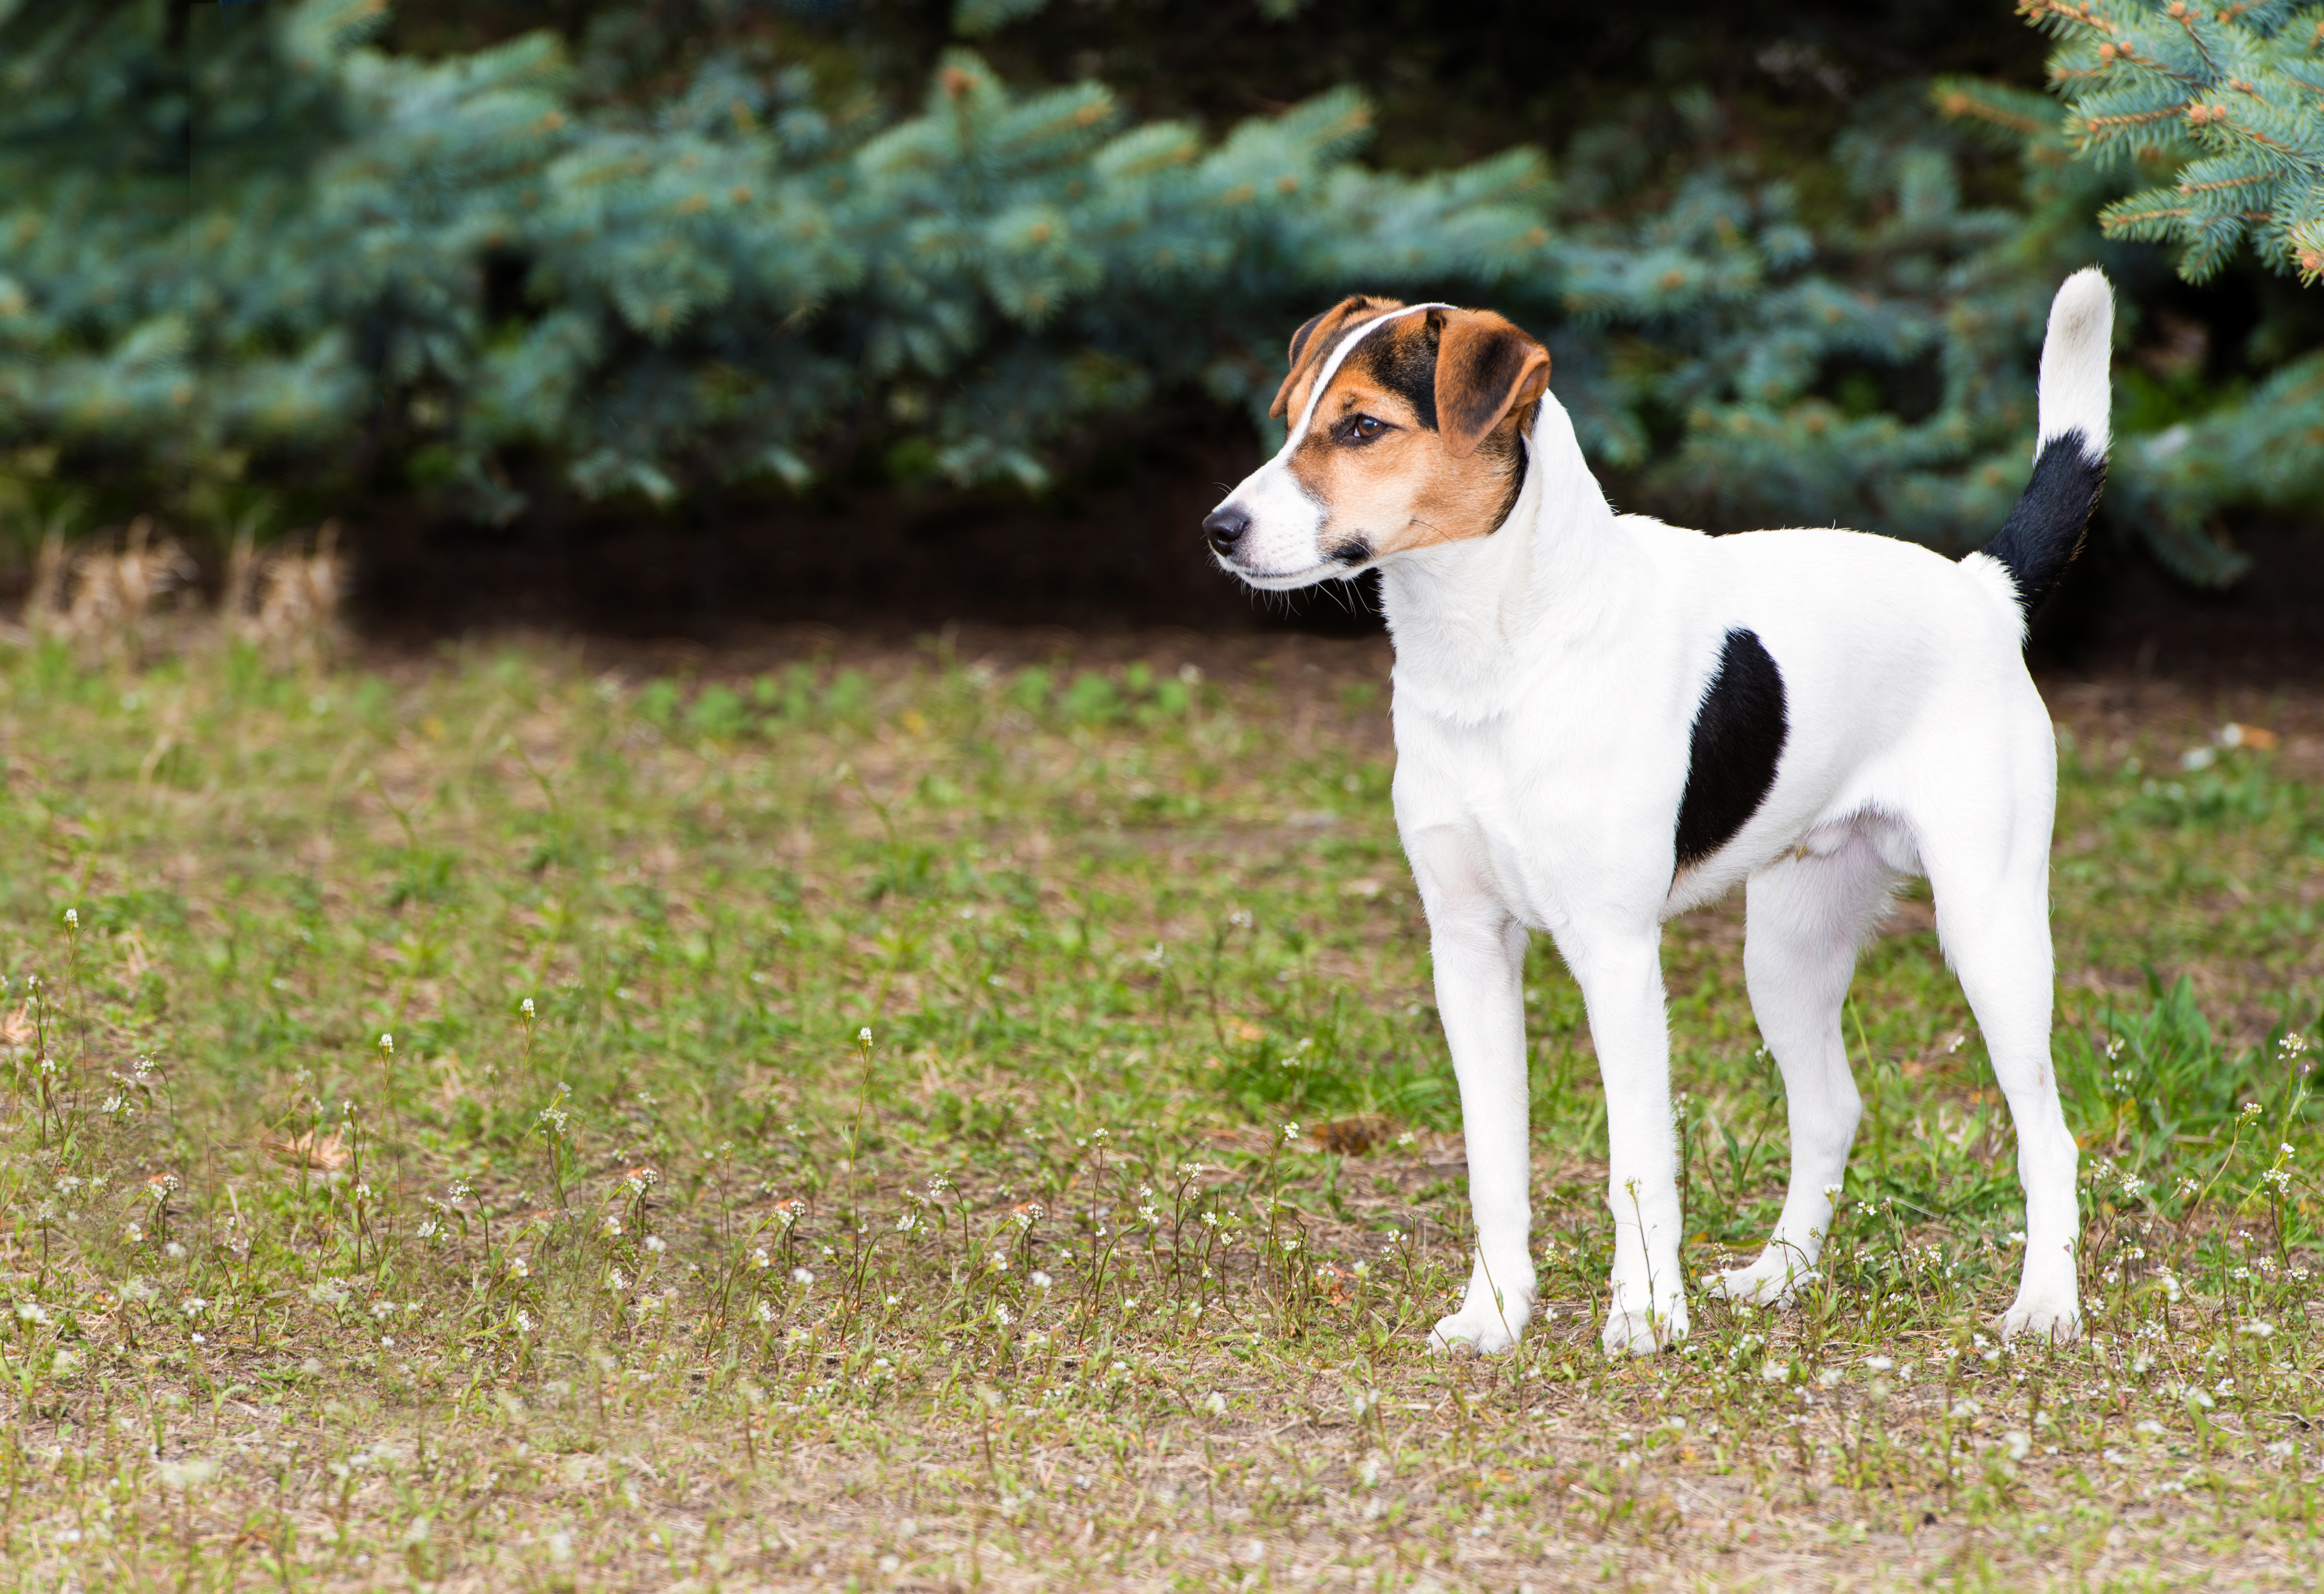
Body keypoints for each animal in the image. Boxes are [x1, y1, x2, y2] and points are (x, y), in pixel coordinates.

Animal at [1208, 272, 2119, 1348]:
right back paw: (1778, 1276)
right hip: (1789, 949)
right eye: (1291, 417)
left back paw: (2047, 1302)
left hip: (1991, 930)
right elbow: (1492, 1162)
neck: (1501, 656)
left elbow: (1638, 1161)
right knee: (1830, 1110)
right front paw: (1495, 1313)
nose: (1220, 528)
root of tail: (1983, 589)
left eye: (1360, 426)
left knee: (2048, 1136)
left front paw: (1645, 1312)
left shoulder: (1615, 952)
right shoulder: (1466, 947)